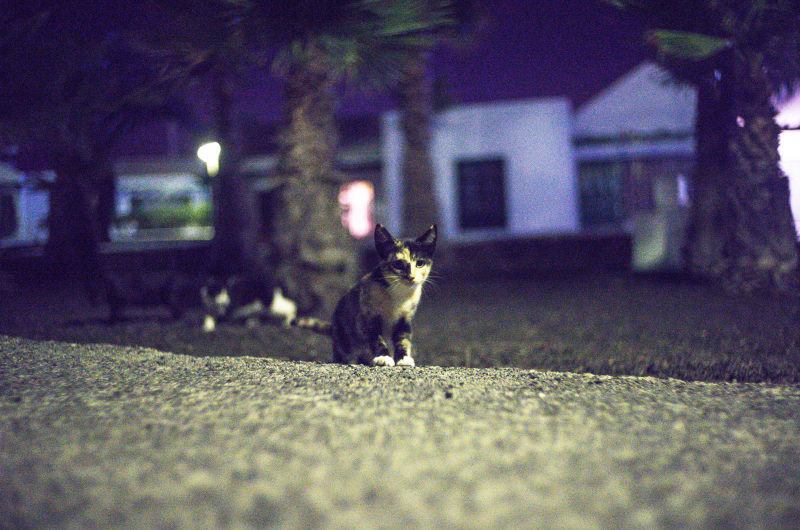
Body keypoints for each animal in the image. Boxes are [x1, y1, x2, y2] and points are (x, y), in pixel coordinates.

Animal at [290, 221, 434, 366]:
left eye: (420, 263)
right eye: (398, 264)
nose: (411, 277)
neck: (398, 295)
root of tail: (334, 328)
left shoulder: (404, 320)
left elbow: (403, 340)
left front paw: (404, 358)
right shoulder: (367, 317)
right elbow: (376, 339)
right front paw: (383, 357)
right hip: (345, 339)